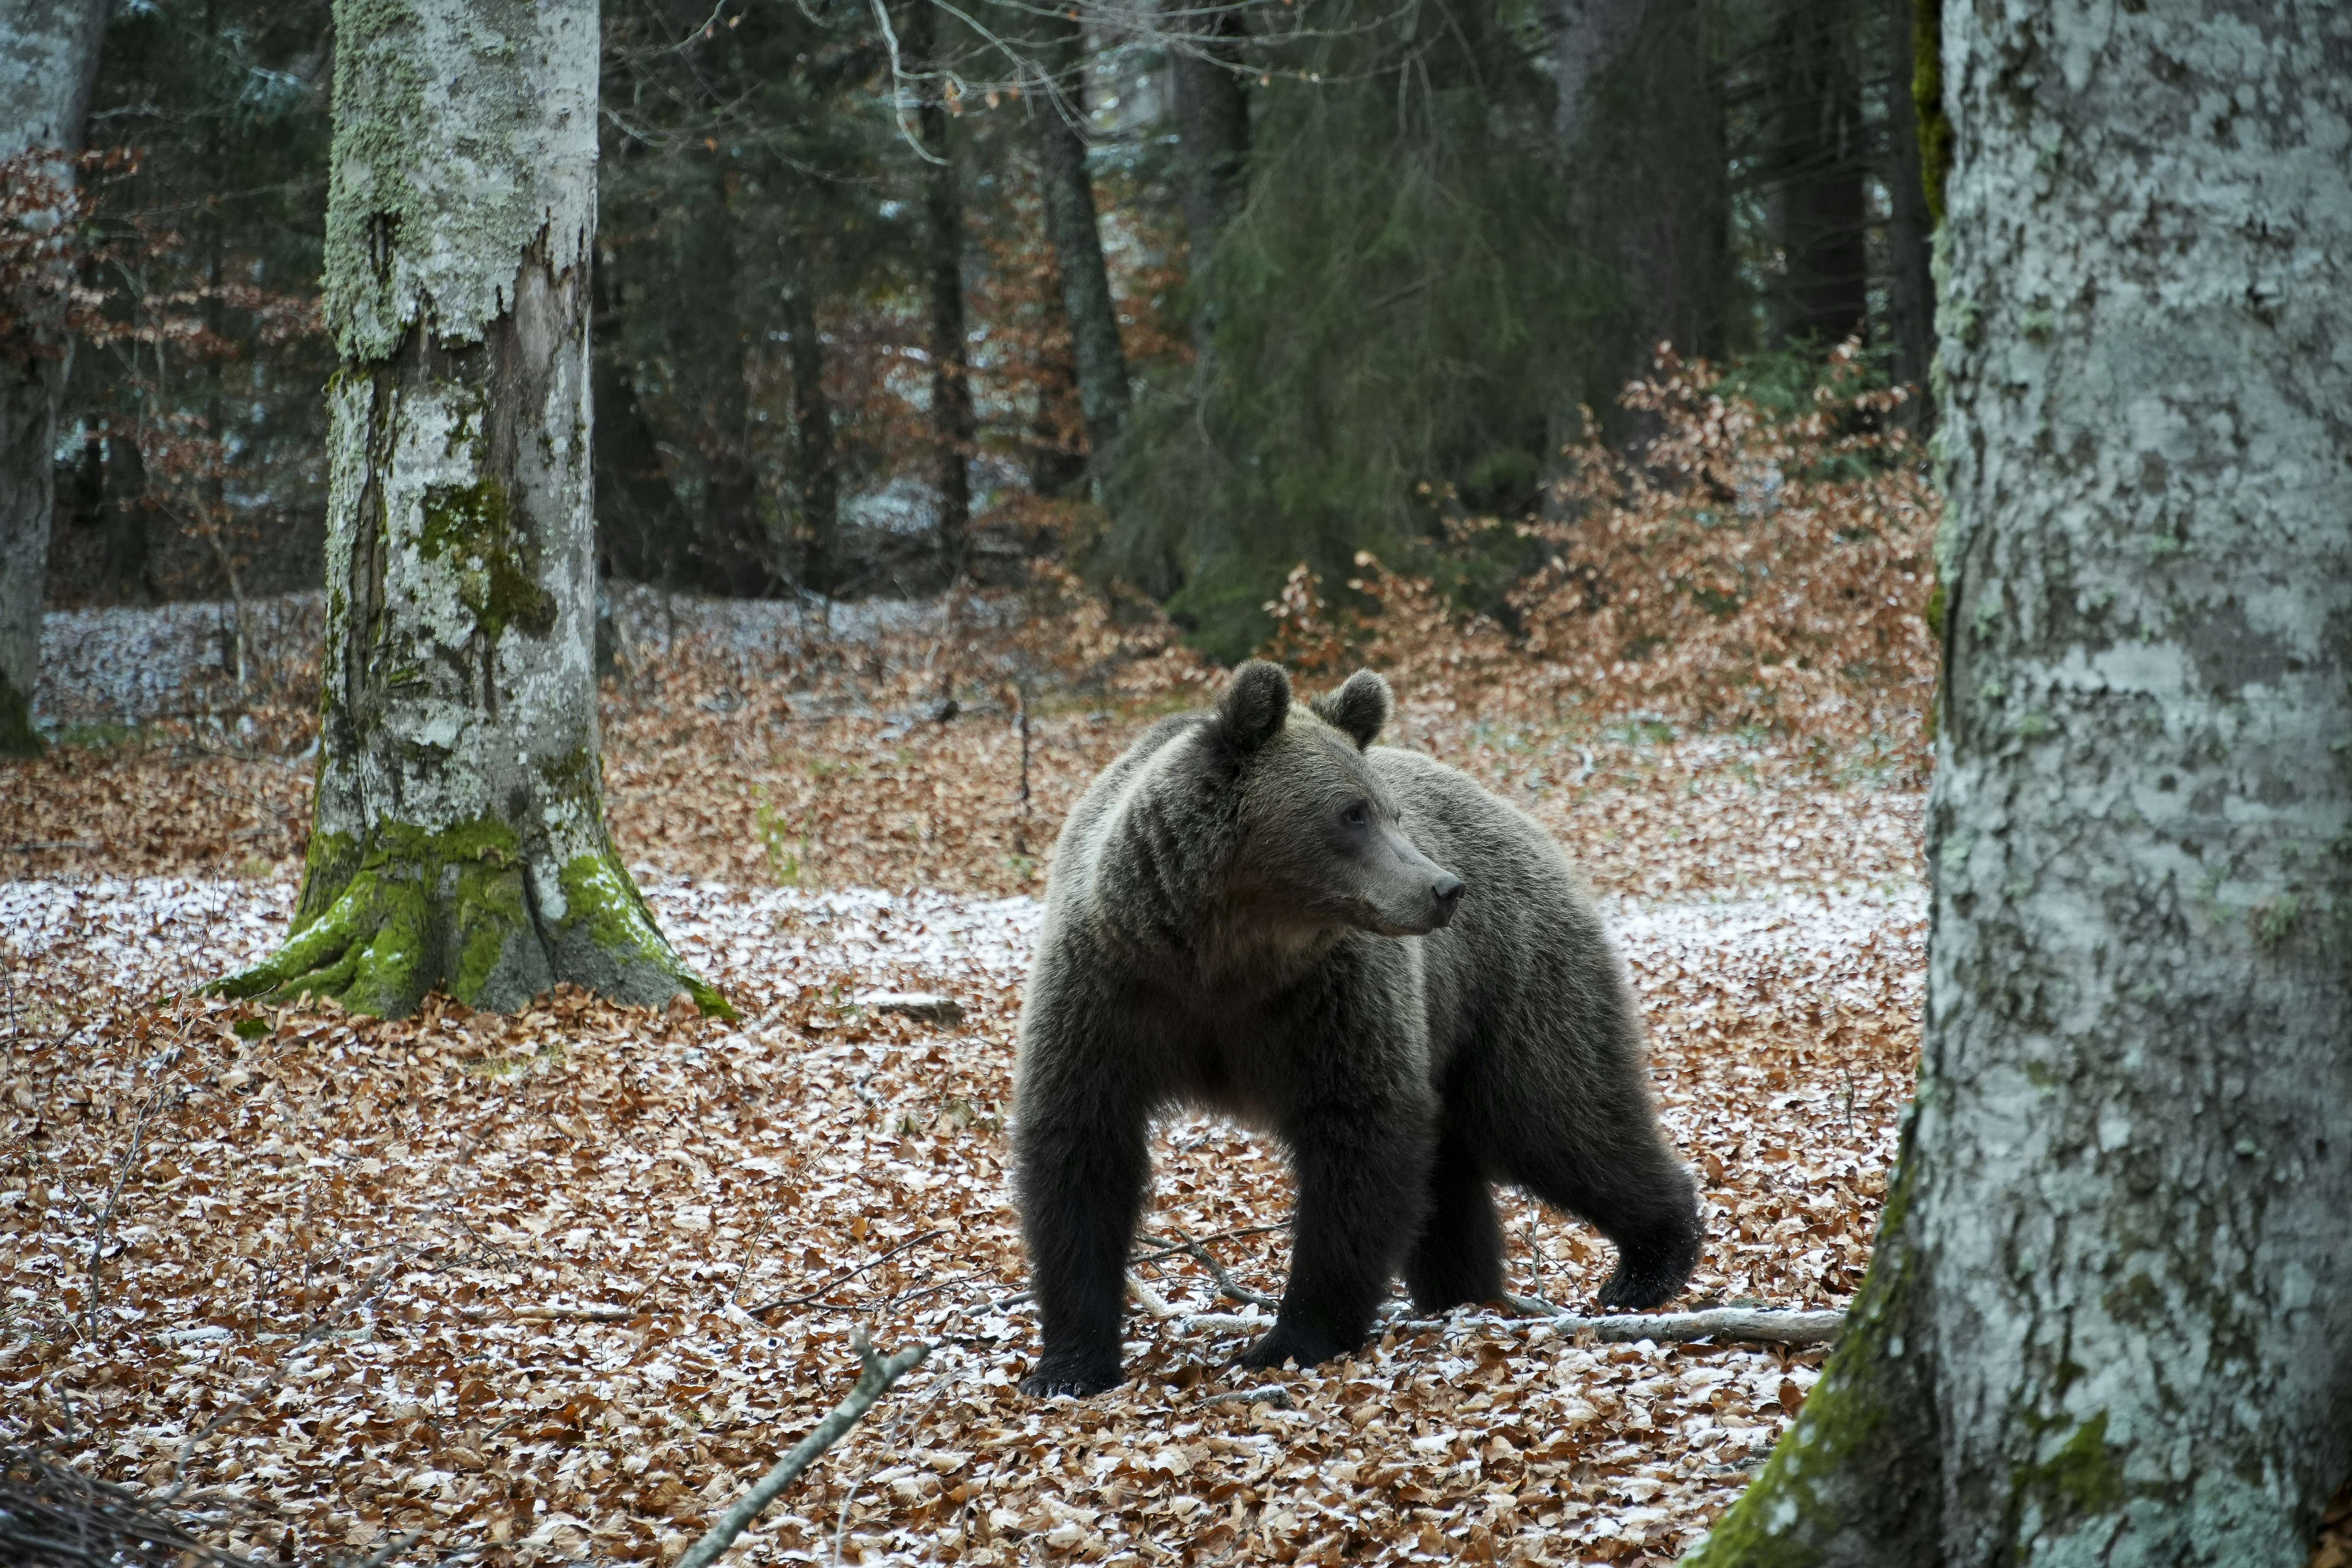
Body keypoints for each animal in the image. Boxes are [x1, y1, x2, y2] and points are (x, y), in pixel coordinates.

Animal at [1012, 660, 1702, 1397]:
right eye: (1352, 812)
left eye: (1389, 809)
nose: (1444, 888)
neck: (1223, 956)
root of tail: (1517, 815)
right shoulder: (1115, 994)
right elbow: (1081, 1150)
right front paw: (1067, 1364)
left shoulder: (1329, 1002)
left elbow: (1358, 1140)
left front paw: (1289, 1338)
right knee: (1460, 1166)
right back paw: (1461, 1291)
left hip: (1508, 977)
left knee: (1556, 1115)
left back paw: (1649, 1263)